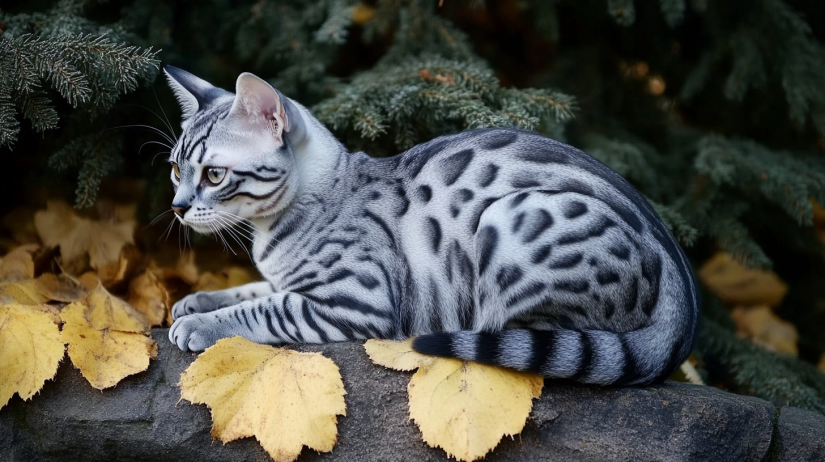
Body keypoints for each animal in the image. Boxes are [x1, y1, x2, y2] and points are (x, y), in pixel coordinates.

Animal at [164, 64, 700, 382]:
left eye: (213, 174)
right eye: (175, 169)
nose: (178, 206)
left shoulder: (350, 301)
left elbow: (260, 310)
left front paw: (199, 324)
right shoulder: (285, 281)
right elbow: (250, 289)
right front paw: (194, 300)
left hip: (511, 222)